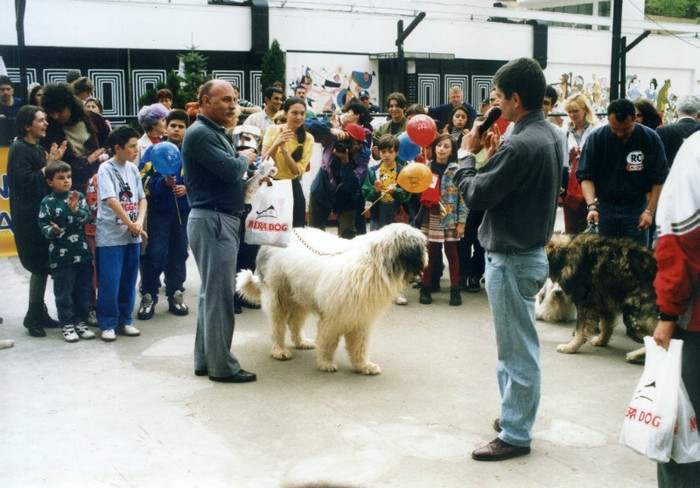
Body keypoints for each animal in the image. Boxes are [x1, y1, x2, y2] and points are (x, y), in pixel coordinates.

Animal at [238, 223, 430, 376]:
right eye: (421, 247)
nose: (427, 260)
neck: (374, 262)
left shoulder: (360, 318)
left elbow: (359, 345)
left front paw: (364, 365)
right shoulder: (334, 317)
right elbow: (329, 341)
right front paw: (326, 362)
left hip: (300, 296)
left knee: (295, 322)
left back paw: (301, 342)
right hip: (277, 295)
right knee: (277, 326)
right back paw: (279, 350)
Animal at [548, 233, 656, 362]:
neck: (565, 252)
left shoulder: (584, 304)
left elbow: (580, 330)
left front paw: (570, 347)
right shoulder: (606, 303)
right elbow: (606, 326)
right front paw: (601, 340)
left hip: (636, 311)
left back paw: (634, 354)